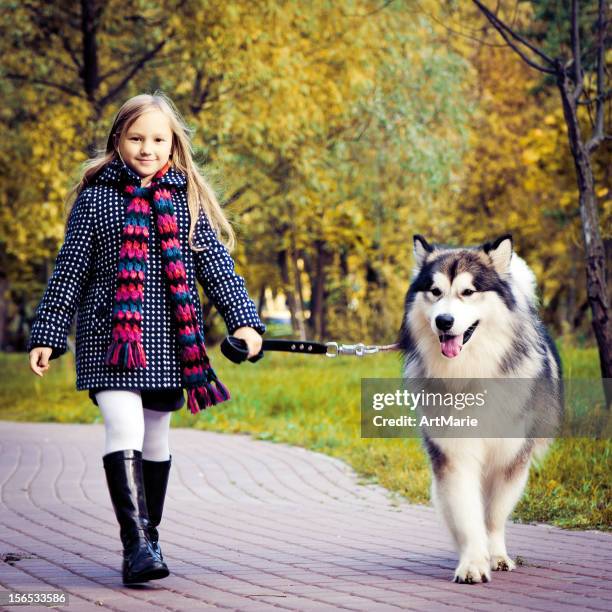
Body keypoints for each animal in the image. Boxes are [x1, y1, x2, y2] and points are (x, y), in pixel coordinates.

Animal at [400, 234, 560, 584]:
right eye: (435, 292)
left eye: (468, 292)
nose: (443, 321)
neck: (470, 372)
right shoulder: (454, 454)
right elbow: (467, 515)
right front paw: (473, 562)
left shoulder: (511, 456)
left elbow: (494, 516)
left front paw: (495, 555)